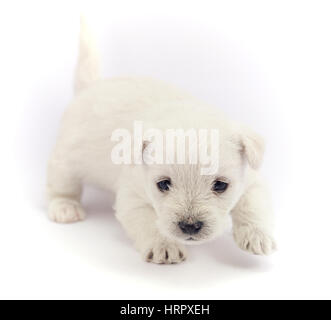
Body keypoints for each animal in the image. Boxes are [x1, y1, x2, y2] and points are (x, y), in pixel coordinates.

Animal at [46, 20, 274, 264]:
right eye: (163, 184)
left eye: (221, 185)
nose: (190, 226)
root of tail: (89, 87)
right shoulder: (133, 197)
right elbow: (149, 224)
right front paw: (164, 246)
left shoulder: (251, 181)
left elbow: (252, 206)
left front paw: (258, 236)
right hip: (67, 159)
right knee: (61, 185)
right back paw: (65, 207)